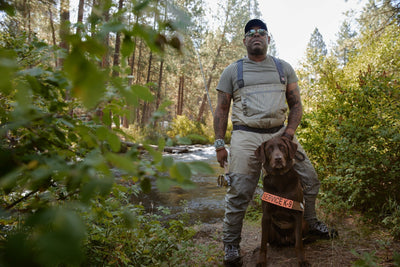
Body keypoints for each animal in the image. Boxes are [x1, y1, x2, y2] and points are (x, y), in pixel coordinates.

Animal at [256, 137, 310, 267]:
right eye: (269, 149)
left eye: (282, 147)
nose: (278, 159)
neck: (279, 178)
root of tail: (285, 240)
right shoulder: (266, 215)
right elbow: (263, 244)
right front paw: (261, 261)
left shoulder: (297, 214)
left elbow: (299, 244)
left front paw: (302, 260)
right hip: (270, 227)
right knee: (273, 242)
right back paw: (277, 246)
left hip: (305, 223)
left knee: (297, 240)